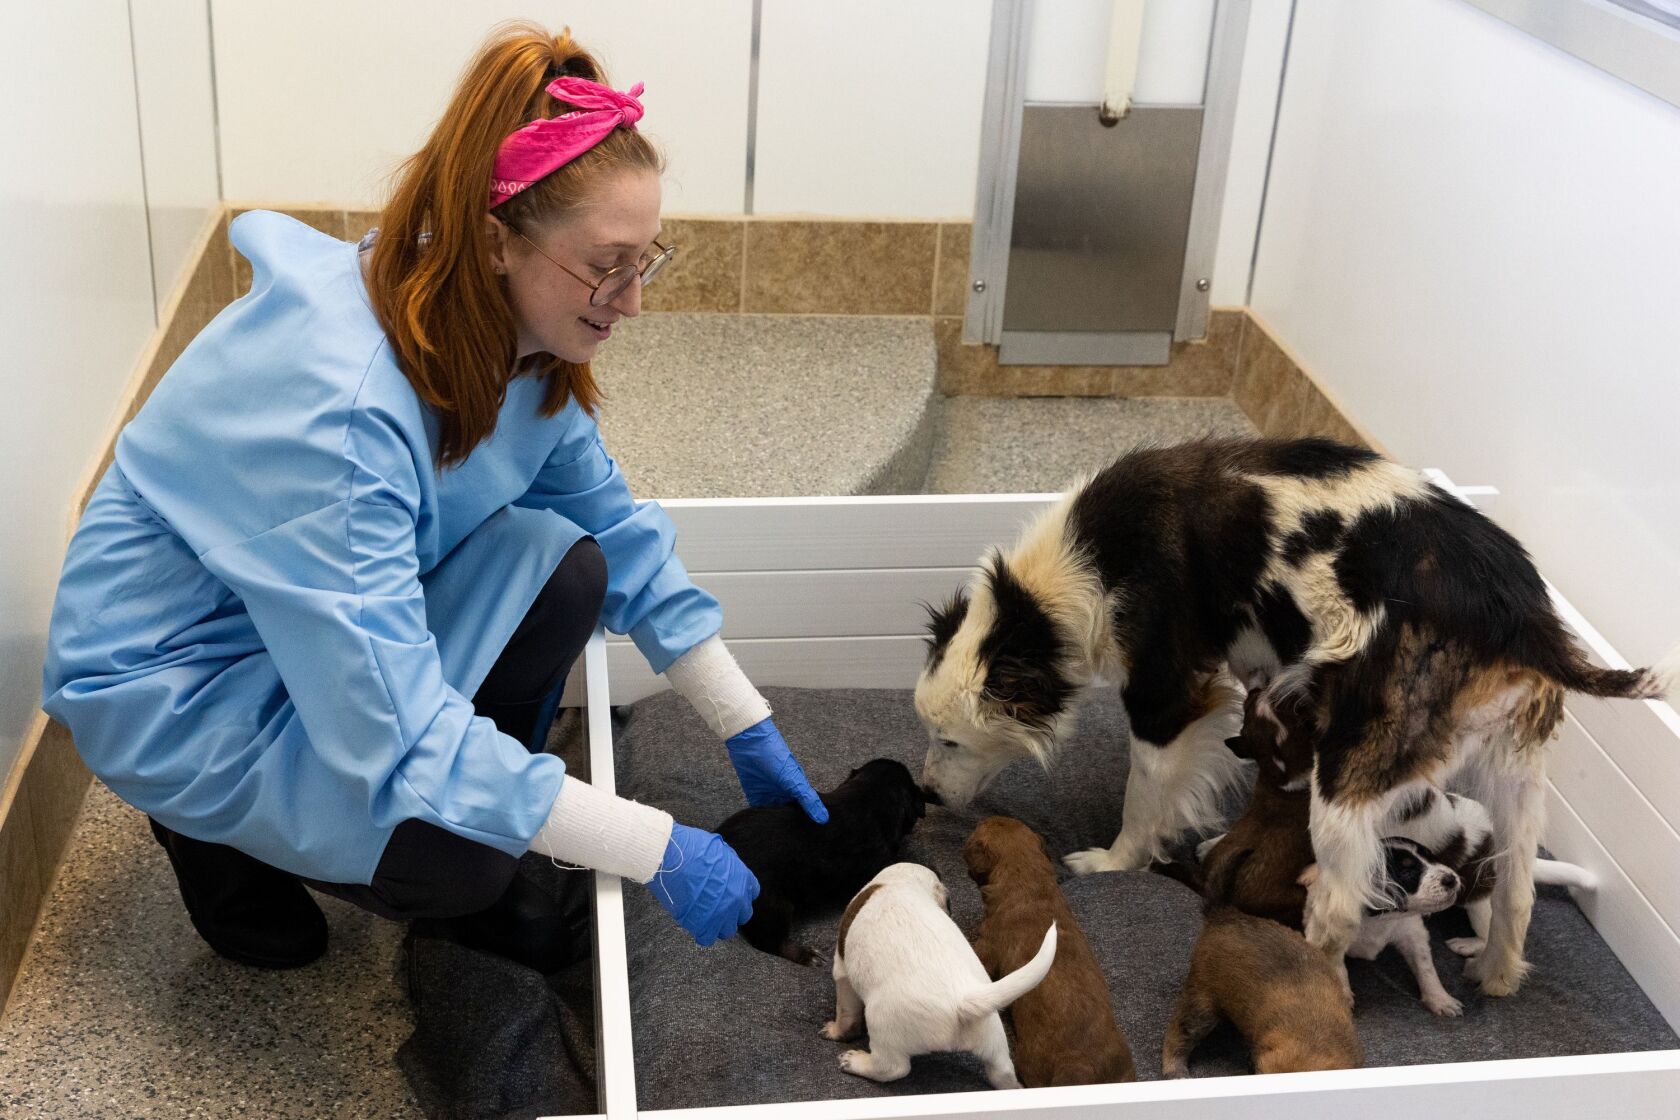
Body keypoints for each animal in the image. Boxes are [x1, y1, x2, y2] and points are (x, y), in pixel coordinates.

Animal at [819, 866, 1055, 1088]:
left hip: (882, 1023)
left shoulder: (841, 971)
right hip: (994, 1039)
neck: (901, 881)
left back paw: (855, 1062)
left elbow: (846, 1013)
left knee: (892, 1068)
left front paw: (836, 1031)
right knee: (1003, 1074)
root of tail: (963, 1000)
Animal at [920, 436, 1680, 1000]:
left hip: (1349, 778)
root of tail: (1523, 618)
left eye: (949, 739)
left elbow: (1143, 803)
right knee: (1517, 888)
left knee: (1342, 906)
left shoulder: (1164, 700)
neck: (1081, 569)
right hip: (1513, 774)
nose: (924, 792)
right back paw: (1493, 976)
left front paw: (1113, 863)